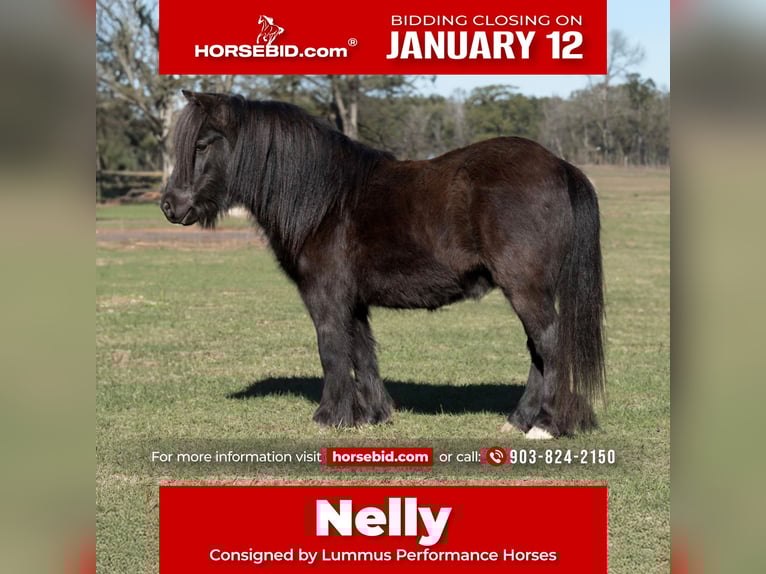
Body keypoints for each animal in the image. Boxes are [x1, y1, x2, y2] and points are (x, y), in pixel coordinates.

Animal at [161, 90, 606, 439]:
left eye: (201, 145)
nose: (170, 205)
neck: (325, 200)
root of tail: (560, 166)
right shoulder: (353, 300)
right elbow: (362, 352)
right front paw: (373, 415)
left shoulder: (325, 297)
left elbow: (332, 350)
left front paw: (329, 417)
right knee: (537, 350)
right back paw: (519, 420)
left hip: (525, 288)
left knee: (549, 343)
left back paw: (545, 425)